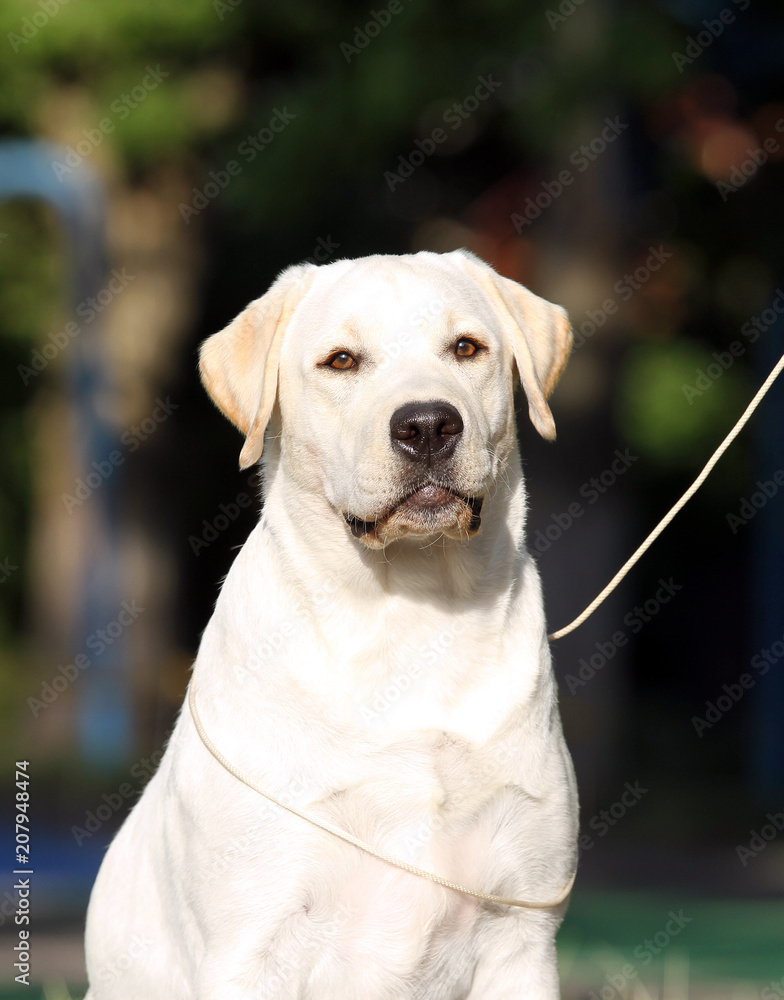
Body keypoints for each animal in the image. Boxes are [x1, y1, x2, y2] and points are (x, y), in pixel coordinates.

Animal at [84, 252, 576, 1000]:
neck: (409, 612)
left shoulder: (521, 927)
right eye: (341, 361)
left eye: (466, 348)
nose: (427, 425)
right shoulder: (251, 939)